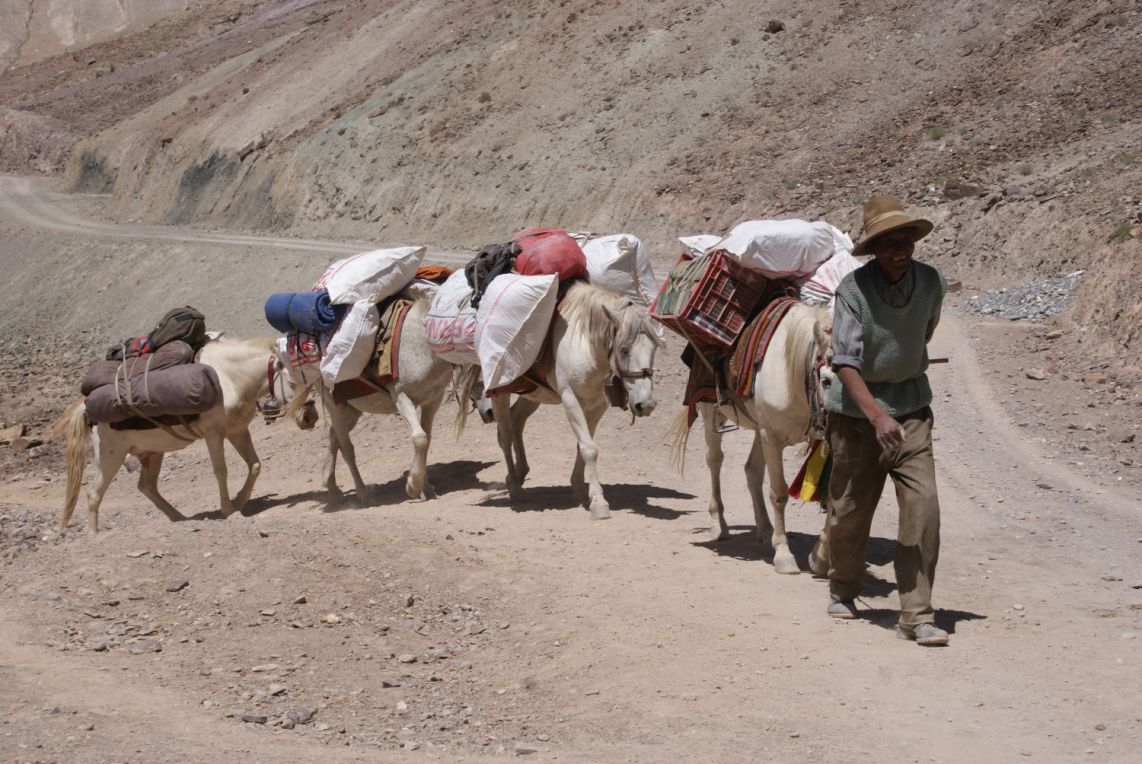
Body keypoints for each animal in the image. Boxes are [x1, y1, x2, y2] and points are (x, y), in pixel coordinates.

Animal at [55, 336, 310, 536]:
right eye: (292, 382)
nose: (310, 417)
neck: (228, 378)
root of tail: (86, 406)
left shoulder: (237, 431)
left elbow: (255, 465)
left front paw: (239, 500)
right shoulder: (214, 433)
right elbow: (221, 471)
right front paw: (228, 509)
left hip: (152, 453)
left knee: (146, 486)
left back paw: (181, 519)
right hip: (112, 456)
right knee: (94, 493)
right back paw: (94, 536)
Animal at [477, 280, 664, 519]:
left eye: (654, 348)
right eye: (623, 349)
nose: (645, 405)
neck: (587, 346)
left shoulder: (596, 406)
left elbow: (583, 446)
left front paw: (580, 491)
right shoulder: (571, 400)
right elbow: (589, 449)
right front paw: (599, 502)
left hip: (534, 394)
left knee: (516, 420)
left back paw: (519, 473)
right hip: (500, 389)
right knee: (505, 433)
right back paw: (515, 487)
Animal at [674, 301, 833, 573]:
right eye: (826, 380)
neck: (790, 370)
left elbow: (834, 499)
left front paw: (821, 556)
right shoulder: (773, 437)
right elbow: (779, 493)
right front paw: (784, 555)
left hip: (760, 431)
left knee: (752, 471)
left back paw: (765, 529)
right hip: (713, 413)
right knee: (714, 460)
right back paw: (719, 524)